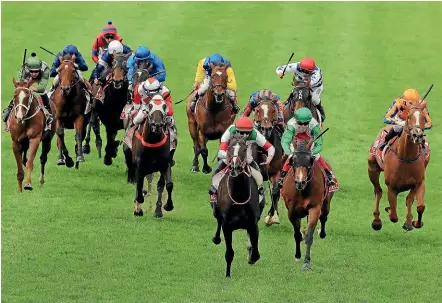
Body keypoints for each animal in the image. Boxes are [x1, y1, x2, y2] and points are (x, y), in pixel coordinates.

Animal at [213, 134, 262, 280]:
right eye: (229, 148)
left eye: (245, 149)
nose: (235, 167)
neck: (239, 196)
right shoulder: (227, 225)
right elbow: (229, 253)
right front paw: (228, 274)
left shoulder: (253, 223)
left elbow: (256, 253)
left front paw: (251, 256)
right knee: (217, 220)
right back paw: (216, 238)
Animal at [282, 135, 334, 270]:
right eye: (293, 161)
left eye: (309, 161)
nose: (300, 182)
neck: (302, 191)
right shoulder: (292, 211)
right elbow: (297, 234)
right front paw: (297, 255)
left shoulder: (314, 208)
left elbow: (310, 235)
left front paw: (307, 261)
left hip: (326, 203)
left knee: (324, 217)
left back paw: (322, 233)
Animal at [368, 103, 430, 232]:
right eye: (409, 116)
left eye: (423, 117)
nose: (417, 135)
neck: (406, 157)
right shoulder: (392, 187)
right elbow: (393, 216)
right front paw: (388, 209)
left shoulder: (419, 183)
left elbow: (419, 206)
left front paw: (415, 222)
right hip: (372, 168)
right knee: (378, 191)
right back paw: (376, 221)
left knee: (408, 199)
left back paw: (408, 222)